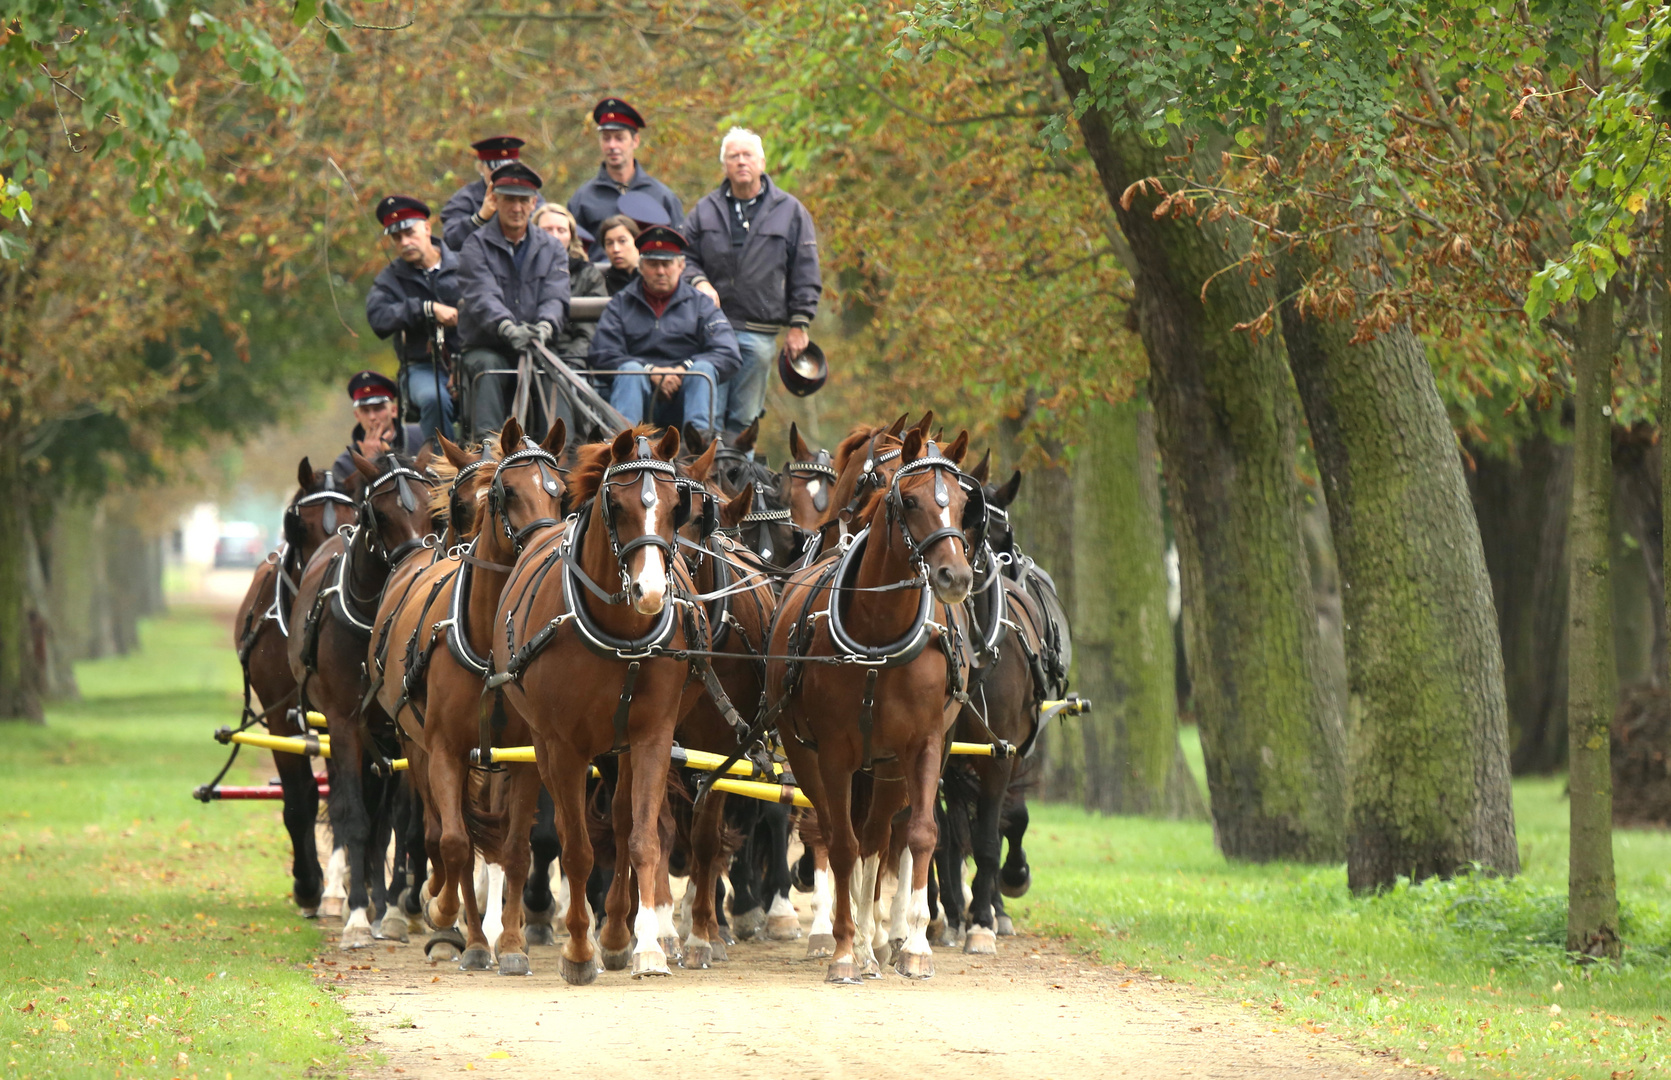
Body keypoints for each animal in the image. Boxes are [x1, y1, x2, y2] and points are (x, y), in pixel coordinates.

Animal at [294, 448, 437, 949]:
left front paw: (391, 907)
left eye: (431, 506)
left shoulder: (401, 726)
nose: (416, 564)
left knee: (384, 819)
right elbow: (354, 817)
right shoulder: (342, 724)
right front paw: (357, 915)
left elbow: (398, 820)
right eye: (380, 513)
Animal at [374, 419, 568, 976]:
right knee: (439, 834)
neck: (486, 638)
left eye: (560, 492)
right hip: (415, 746)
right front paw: (455, 925)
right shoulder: (445, 751)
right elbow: (455, 843)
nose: (544, 546)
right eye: (506, 493)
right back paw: (448, 922)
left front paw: (513, 945)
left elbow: (516, 850)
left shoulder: (525, 757)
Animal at [487, 427, 691, 983]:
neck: (621, 634)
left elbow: (641, 838)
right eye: (615, 506)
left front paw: (646, 947)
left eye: (676, 506)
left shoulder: (651, 736)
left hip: (618, 747)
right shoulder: (564, 746)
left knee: (621, 825)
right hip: (542, 744)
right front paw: (579, 950)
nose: (650, 592)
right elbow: (575, 849)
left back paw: (619, 934)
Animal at [765, 427, 975, 983]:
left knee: (880, 837)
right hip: (811, 756)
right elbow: (841, 844)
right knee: (841, 834)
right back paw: (856, 942)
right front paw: (842, 949)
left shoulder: (921, 746)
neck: (878, 631)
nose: (955, 576)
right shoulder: (835, 753)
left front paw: (915, 947)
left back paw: (876, 937)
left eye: (964, 501)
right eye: (910, 500)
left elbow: (919, 835)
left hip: (886, 767)